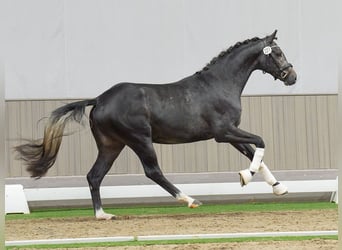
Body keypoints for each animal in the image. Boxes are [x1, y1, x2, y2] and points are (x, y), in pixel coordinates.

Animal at [14, 30, 296, 219]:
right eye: (277, 53)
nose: (292, 76)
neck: (220, 84)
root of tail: (101, 99)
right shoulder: (224, 132)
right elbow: (260, 142)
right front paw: (245, 177)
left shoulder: (231, 135)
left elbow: (255, 153)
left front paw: (278, 188)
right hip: (139, 139)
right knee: (152, 171)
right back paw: (190, 200)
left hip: (111, 145)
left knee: (94, 175)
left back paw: (103, 215)